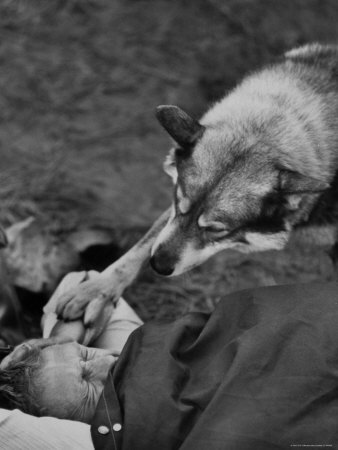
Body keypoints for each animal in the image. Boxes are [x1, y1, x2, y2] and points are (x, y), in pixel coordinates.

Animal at [56, 42, 338, 330]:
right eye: (177, 202)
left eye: (216, 230)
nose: (158, 265)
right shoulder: (170, 220)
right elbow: (139, 249)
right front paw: (97, 291)